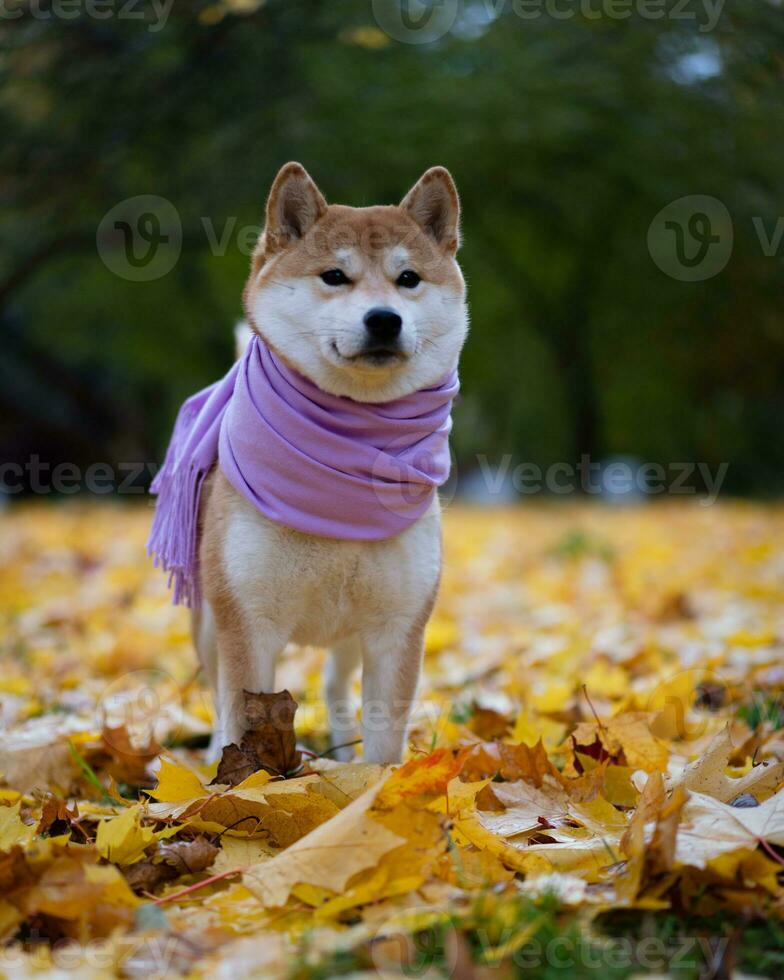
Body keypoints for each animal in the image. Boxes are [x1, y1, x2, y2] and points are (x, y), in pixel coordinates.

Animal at [193, 163, 468, 764]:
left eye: (408, 278)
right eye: (334, 276)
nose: (384, 319)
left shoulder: (396, 626)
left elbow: (385, 738)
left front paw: (376, 785)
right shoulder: (248, 621)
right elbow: (240, 717)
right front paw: (239, 779)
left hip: (348, 633)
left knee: (334, 684)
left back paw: (342, 753)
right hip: (206, 616)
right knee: (215, 691)